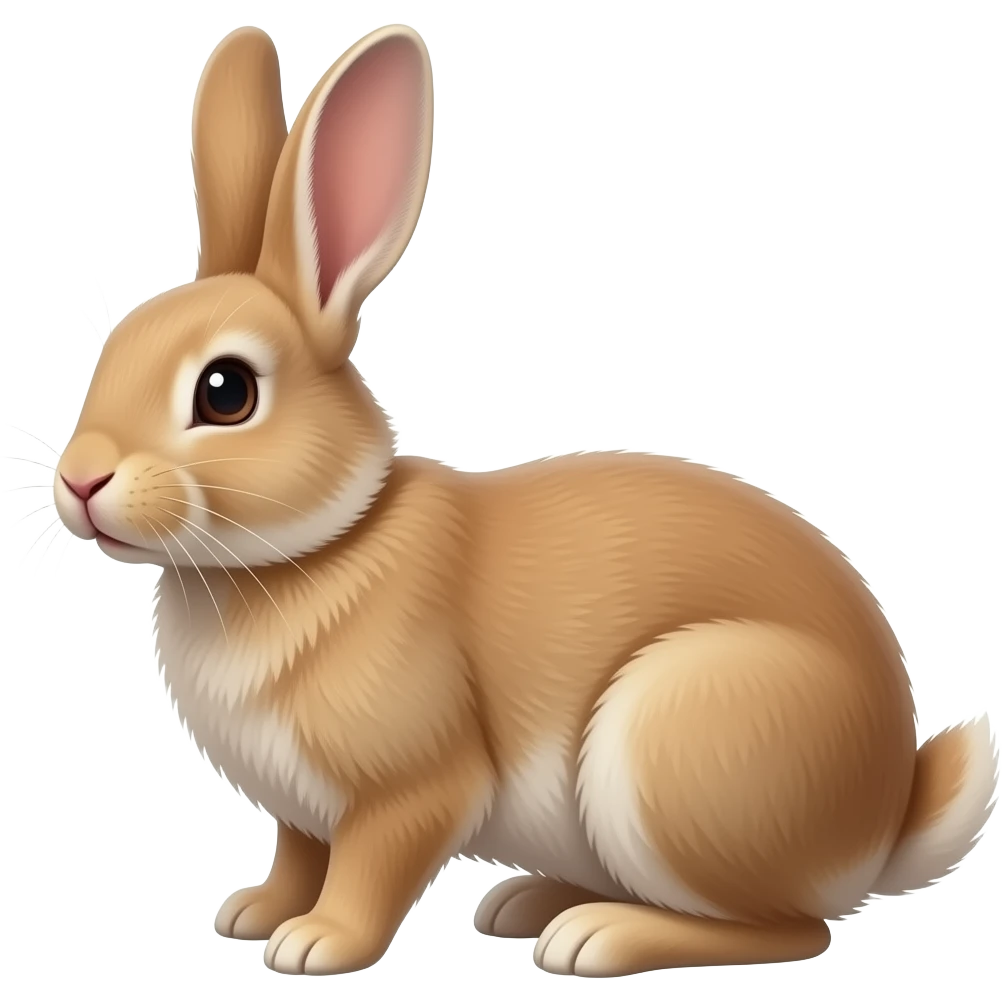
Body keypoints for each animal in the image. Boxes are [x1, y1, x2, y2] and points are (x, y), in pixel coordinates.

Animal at [53, 24, 999, 979]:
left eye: (226, 392)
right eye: (111, 347)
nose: (80, 481)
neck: (318, 547)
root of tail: (882, 822)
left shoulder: (412, 789)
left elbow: (370, 868)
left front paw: (317, 943)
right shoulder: (300, 810)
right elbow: (298, 853)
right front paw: (253, 912)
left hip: (675, 743)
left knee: (793, 929)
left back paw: (595, 936)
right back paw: (530, 902)